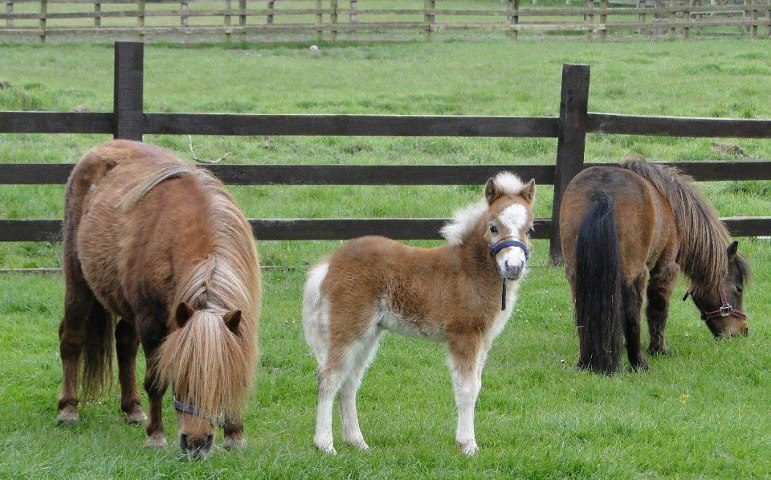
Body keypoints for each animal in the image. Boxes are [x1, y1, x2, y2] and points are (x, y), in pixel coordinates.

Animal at [58, 140, 262, 458]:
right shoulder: (152, 324)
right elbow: (154, 381)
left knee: (124, 344)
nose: (196, 445)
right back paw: (68, 409)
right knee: (72, 339)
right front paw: (155, 435)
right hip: (79, 284)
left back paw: (132, 409)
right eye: (180, 374)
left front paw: (234, 434)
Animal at [302, 171, 536, 456]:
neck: (470, 271)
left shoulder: (484, 339)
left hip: (369, 333)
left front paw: (465, 441)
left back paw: (357, 441)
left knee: (349, 383)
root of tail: (329, 264)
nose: (514, 266)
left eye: (530, 229)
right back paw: (325, 444)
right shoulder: (464, 335)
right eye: (493, 227)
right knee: (329, 378)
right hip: (347, 327)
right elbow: (467, 389)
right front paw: (468, 446)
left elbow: (476, 385)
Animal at [556, 158, 752, 376]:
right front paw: (658, 349)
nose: (743, 331)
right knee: (632, 316)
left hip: (577, 274)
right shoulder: (665, 269)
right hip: (636, 274)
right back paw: (638, 364)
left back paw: (586, 362)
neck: (672, 207)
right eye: (739, 288)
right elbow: (658, 311)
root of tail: (601, 192)